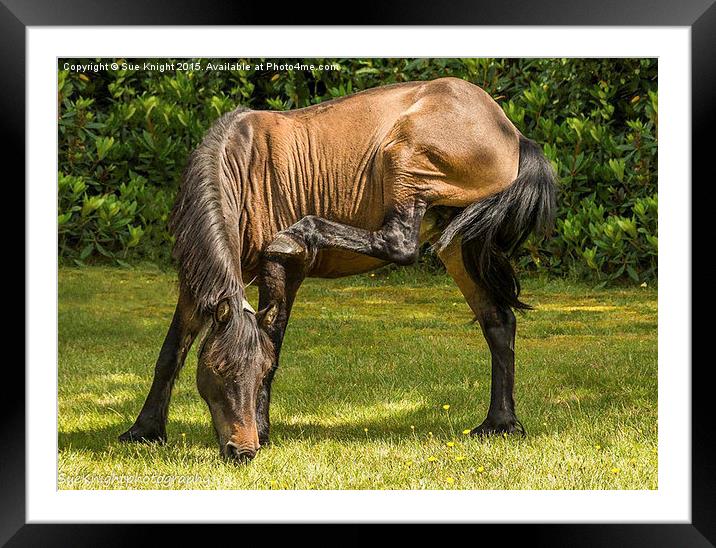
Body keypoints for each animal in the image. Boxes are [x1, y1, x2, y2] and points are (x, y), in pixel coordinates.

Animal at [117, 77, 556, 462]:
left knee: (399, 243)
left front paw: (264, 428)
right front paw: (144, 430)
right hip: (458, 243)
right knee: (498, 322)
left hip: (404, 162)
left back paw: (299, 232)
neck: (243, 167)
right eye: (219, 371)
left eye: (258, 373)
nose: (243, 450)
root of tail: (512, 133)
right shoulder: (196, 285)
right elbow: (171, 353)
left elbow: (273, 342)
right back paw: (500, 423)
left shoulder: (286, 274)